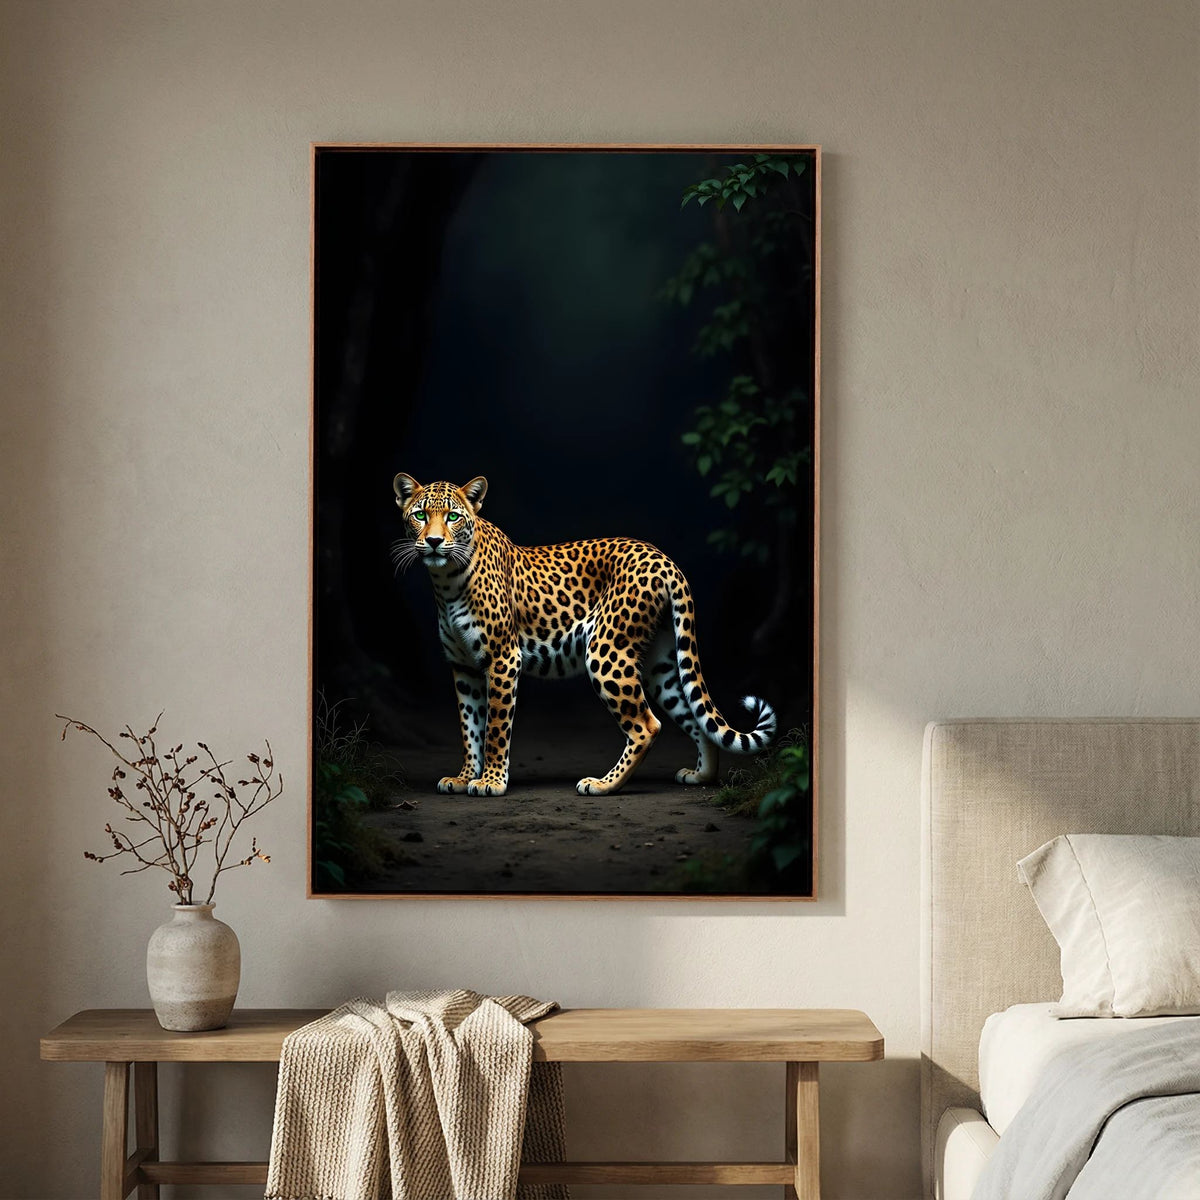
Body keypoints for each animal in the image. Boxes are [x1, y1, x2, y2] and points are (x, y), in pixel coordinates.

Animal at [391, 472, 777, 797]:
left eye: (453, 517)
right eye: (420, 515)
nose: (434, 541)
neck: (446, 582)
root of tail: (664, 559)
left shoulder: (502, 659)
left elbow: (495, 728)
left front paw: (491, 782)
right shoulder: (464, 667)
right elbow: (469, 727)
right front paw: (464, 777)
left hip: (607, 652)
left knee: (647, 725)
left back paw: (603, 785)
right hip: (659, 664)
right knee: (694, 715)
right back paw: (702, 776)